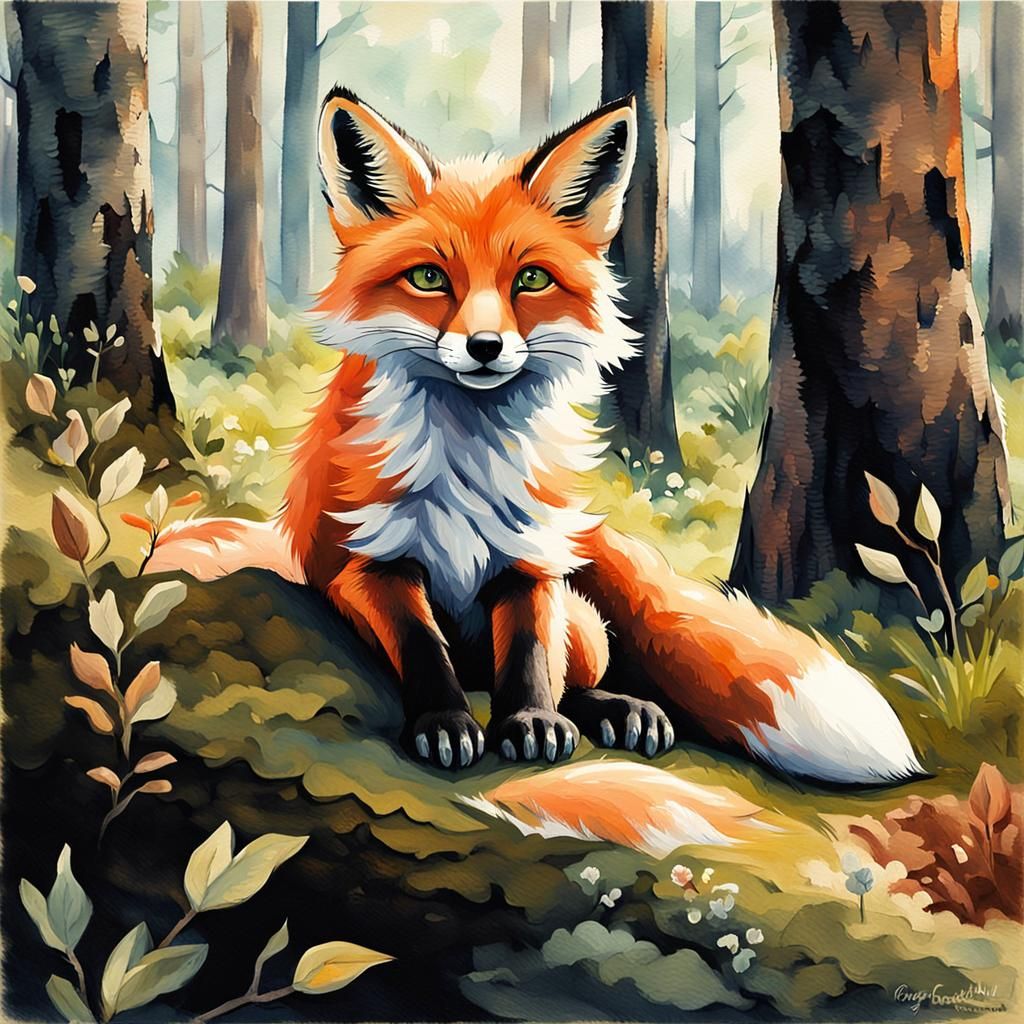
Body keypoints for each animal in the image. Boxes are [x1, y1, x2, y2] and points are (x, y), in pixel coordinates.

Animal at [147, 87, 926, 788]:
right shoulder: (371, 562)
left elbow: (526, 656)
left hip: (578, 610)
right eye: (428, 277)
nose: (486, 347)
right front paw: (445, 724)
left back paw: (614, 710)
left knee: (580, 668)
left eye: (530, 280)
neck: (468, 463)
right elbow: (423, 647)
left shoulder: (530, 564)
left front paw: (528, 723)